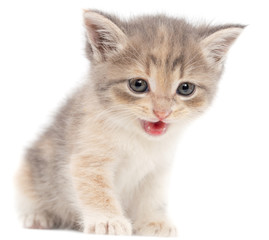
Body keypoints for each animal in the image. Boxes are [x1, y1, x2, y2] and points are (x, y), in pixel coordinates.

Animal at [15, 8, 244, 236]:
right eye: (138, 85)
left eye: (185, 88)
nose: (162, 112)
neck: (138, 138)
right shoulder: (88, 156)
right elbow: (96, 190)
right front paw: (108, 220)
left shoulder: (159, 167)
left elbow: (153, 195)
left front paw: (154, 221)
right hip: (30, 171)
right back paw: (38, 216)